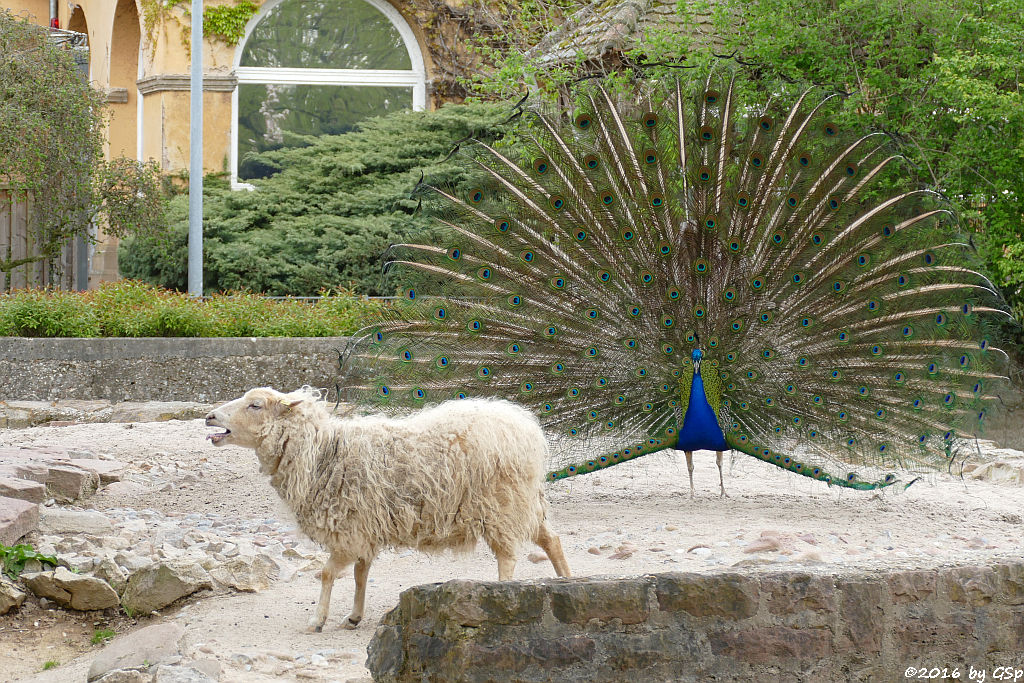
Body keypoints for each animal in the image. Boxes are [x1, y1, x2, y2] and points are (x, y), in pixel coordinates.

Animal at [203, 387, 573, 634]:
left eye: (255, 404)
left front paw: (317, 620)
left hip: (500, 504)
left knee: (508, 555)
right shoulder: (363, 529)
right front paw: (353, 616)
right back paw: (567, 581)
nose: (209, 416)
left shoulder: (348, 532)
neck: (322, 453)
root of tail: (525, 427)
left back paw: (503, 594)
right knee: (551, 539)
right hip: (526, 500)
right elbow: (359, 574)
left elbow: (327, 573)